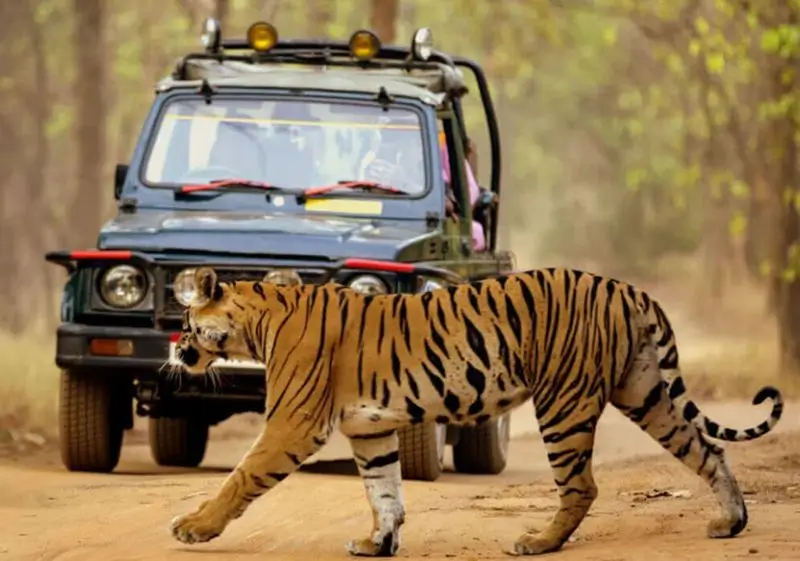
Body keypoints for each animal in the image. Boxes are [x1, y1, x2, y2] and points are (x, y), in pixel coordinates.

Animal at [167, 266, 783, 557]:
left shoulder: (293, 423)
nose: (174, 349)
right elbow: (383, 492)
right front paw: (377, 544)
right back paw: (731, 523)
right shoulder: (370, 431)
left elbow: (241, 477)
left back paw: (538, 543)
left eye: (187, 323)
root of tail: (626, 288)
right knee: (707, 448)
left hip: (563, 401)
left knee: (582, 485)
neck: (257, 323)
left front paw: (194, 527)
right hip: (645, 392)